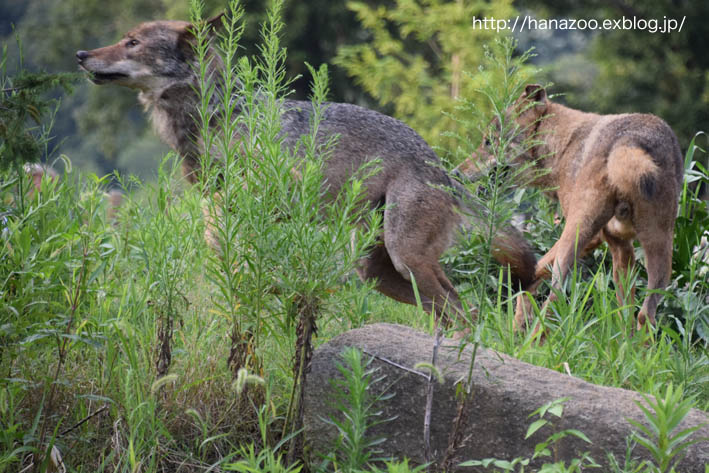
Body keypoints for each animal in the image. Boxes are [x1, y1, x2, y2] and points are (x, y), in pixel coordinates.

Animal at [74, 17, 532, 324]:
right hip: (379, 274)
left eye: (132, 42)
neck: (219, 116)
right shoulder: (217, 214)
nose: (80, 55)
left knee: (464, 310)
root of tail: (440, 166)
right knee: (457, 311)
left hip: (406, 260)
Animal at [468, 84, 684, 328]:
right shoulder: (618, 244)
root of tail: (630, 141)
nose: (457, 171)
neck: (563, 145)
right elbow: (624, 311)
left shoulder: (585, 232)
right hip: (660, 248)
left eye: (488, 141)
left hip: (576, 234)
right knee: (645, 314)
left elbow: (541, 264)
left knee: (556, 294)